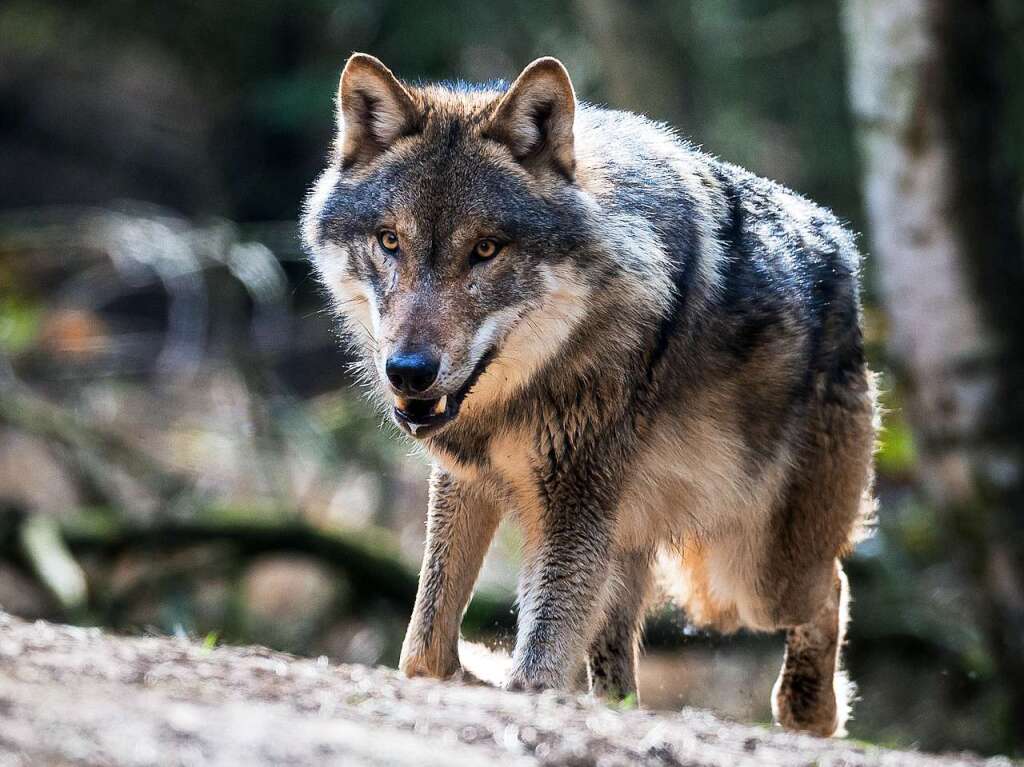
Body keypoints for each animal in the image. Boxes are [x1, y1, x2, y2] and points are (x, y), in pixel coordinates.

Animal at [299, 52, 876, 737]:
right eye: (391, 241)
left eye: (486, 249)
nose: (409, 371)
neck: (519, 396)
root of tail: (842, 245)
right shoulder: (468, 480)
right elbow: (424, 653)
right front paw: (475, 670)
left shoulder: (572, 502)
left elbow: (535, 669)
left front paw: (512, 684)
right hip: (629, 543)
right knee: (617, 666)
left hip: (749, 576)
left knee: (831, 585)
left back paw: (809, 711)